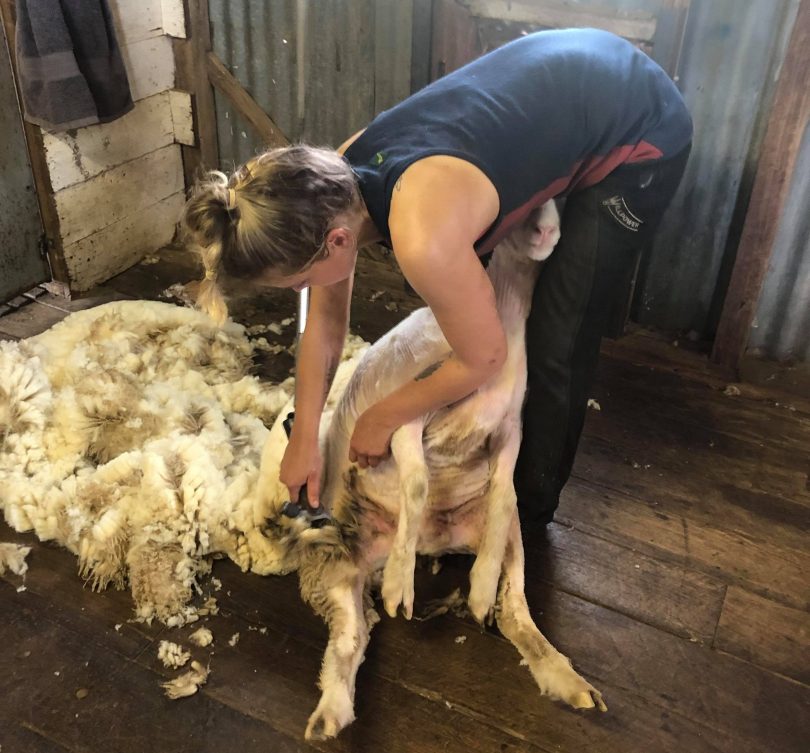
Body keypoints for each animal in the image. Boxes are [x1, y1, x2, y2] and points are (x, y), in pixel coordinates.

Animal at [258, 201, 608, 740]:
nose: (548, 231)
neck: (502, 320)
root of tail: (435, 544)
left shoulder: (509, 431)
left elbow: (505, 494)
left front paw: (480, 585)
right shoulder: (402, 423)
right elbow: (420, 483)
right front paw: (401, 587)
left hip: (504, 538)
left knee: (515, 610)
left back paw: (565, 679)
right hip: (338, 564)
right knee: (349, 640)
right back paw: (329, 715)